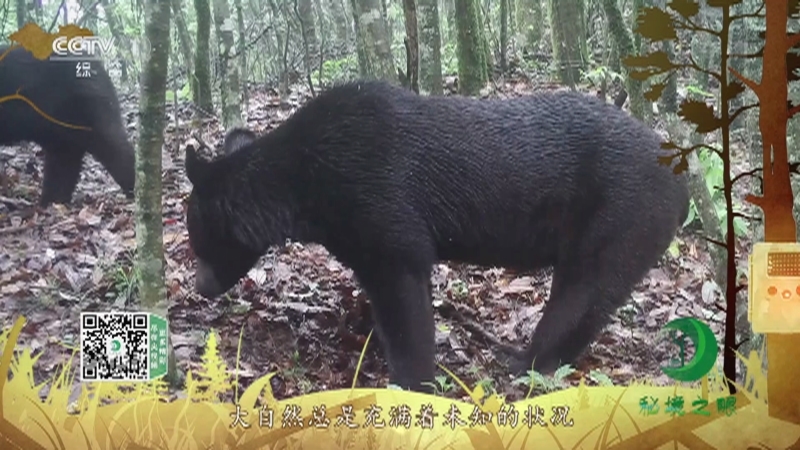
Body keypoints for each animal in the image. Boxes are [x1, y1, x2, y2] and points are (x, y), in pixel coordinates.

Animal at [183, 81, 690, 393]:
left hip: (623, 216)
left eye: (198, 238)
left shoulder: (384, 217)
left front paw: (410, 382)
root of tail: (684, 177)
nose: (199, 287)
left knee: (584, 294)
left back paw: (525, 363)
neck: (304, 189)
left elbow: (405, 308)